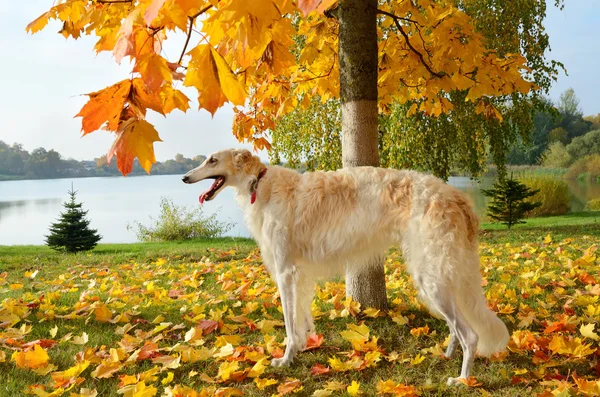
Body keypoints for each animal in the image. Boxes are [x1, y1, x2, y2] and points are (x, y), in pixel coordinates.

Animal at [182, 148, 506, 384]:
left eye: (212, 160)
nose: (184, 177)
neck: (261, 184)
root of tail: (458, 198)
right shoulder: (299, 274)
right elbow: (300, 319)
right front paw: (301, 348)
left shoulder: (285, 272)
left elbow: (288, 323)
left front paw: (285, 359)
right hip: (437, 276)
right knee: (456, 327)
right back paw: (448, 355)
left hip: (432, 276)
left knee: (470, 334)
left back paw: (462, 379)